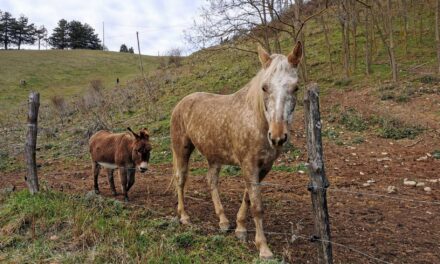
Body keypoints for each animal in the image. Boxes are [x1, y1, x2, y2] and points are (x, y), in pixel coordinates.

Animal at [169, 41, 302, 258]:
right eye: (264, 87)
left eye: (296, 87)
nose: (277, 137)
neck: (256, 119)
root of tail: (181, 103)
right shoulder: (249, 165)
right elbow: (257, 206)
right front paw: (263, 248)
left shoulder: (264, 167)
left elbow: (248, 198)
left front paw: (240, 228)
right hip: (182, 149)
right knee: (181, 180)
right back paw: (185, 216)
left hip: (214, 157)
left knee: (211, 181)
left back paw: (223, 221)